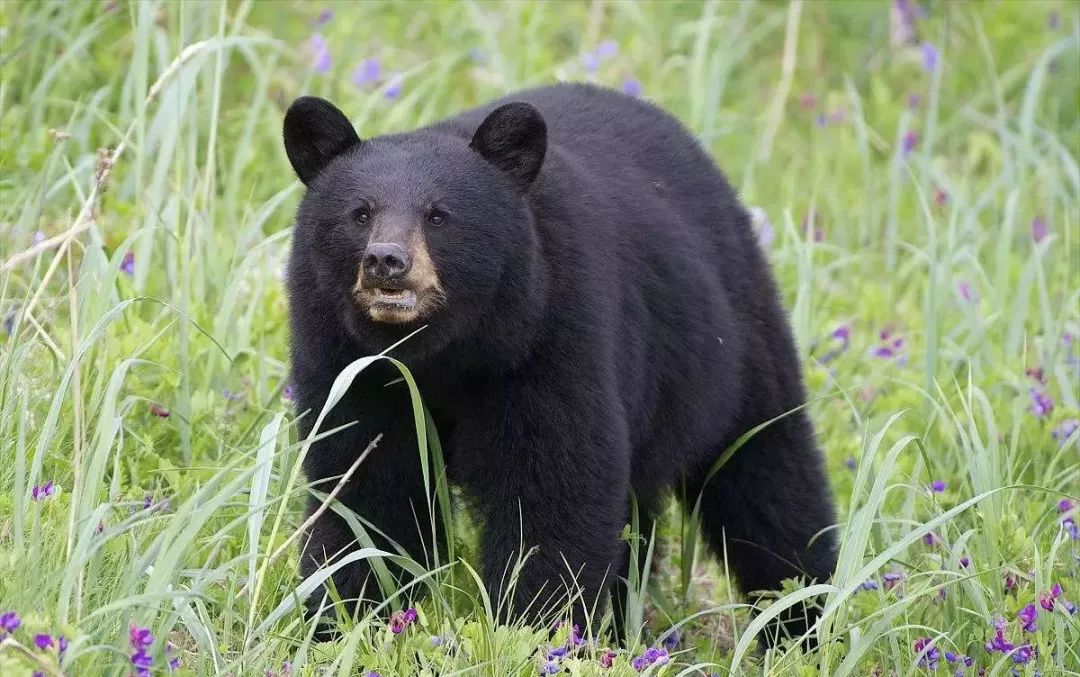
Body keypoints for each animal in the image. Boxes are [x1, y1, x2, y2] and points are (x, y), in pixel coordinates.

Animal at [282, 82, 838, 647]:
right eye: (360, 213)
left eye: (438, 215)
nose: (386, 261)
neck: (444, 352)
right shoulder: (350, 363)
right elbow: (366, 489)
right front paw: (343, 621)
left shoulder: (550, 335)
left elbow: (553, 490)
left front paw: (533, 631)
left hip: (734, 345)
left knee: (769, 478)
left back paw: (801, 621)